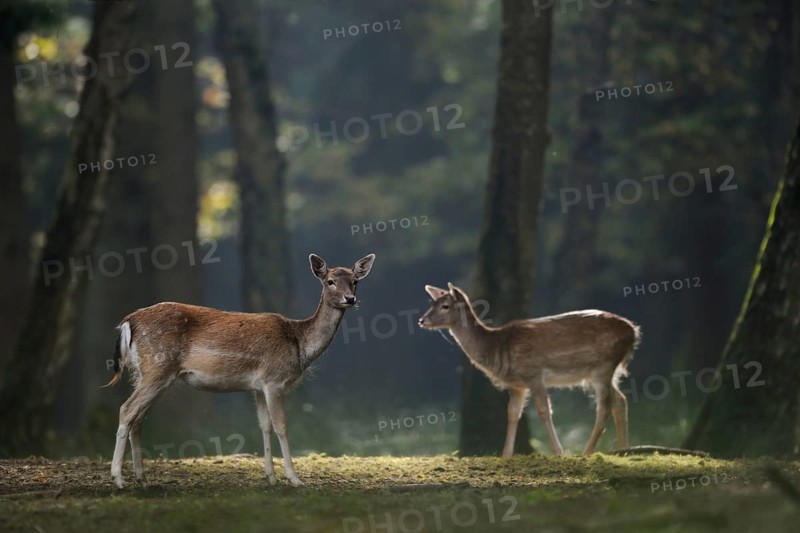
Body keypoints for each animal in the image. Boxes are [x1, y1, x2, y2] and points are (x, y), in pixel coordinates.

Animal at [103, 253, 375, 488]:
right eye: (330, 281)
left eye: (355, 281)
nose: (350, 299)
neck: (299, 344)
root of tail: (128, 322)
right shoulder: (274, 380)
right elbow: (281, 425)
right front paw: (294, 479)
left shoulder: (258, 387)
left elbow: (264, 426)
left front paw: (271, 477)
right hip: (157, 369)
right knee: (127, 410)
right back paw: (118, 478)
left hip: (146, 373)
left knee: (138, 418)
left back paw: (142, 478)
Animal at [418, 283, 640, 458]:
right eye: (432, 303)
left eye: (445, 306)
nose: (421, 320)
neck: (497, 348)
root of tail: (634, 332)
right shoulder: (517, 385)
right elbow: (512, 413)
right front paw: (506, 455)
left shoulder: (534, 374)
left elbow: (544, 411)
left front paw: (558, 452)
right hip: (605, 372)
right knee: (620, 400)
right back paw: (623, 450)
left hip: (603, 366)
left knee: (604, 406)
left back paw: (587, 452)